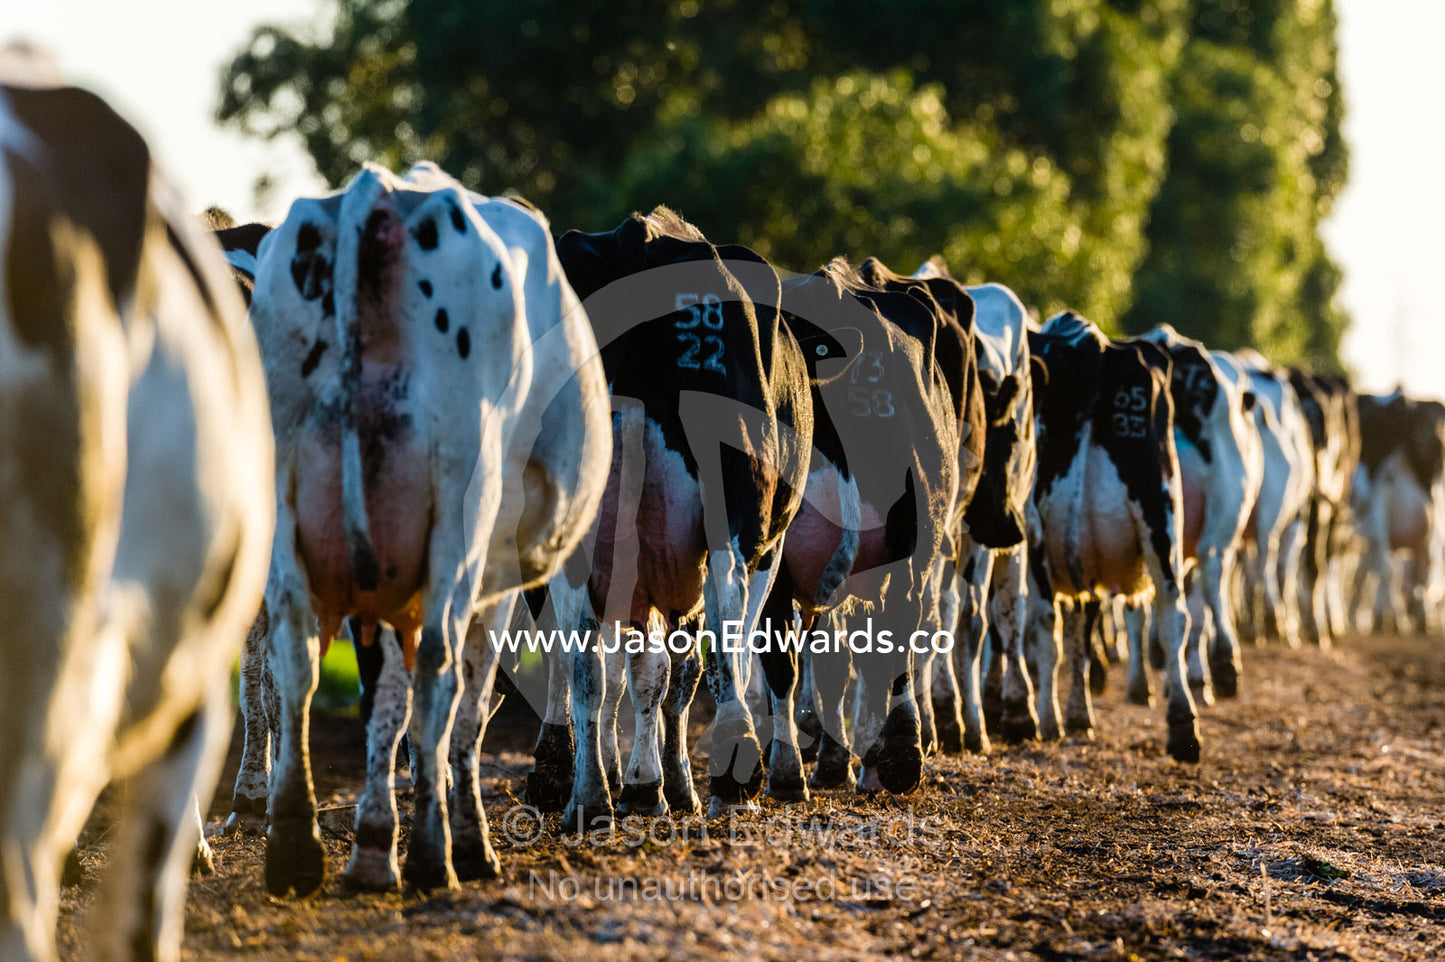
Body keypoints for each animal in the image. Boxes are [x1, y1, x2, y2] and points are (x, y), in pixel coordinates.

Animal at [243, 161, 610, 895]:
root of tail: (378, 190)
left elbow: (386, 702)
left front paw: (372, 848)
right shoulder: (489, 571)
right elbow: (466, 700)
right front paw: (460, 842)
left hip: (284, 505)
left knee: (292, 660)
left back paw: (294, 848)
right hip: (458, 512)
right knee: (441, 665)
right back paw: (433, 855)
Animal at [1024, 312, 1200, 762]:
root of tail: (1091, 342)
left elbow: (1075, 629)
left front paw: (1074, 715)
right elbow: (1083, 628)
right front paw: (1079, 714)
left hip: (1039, 533)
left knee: (1048, 621)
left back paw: (1047, 721)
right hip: (1161, 510)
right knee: (1173, 611)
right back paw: (1183, 729)